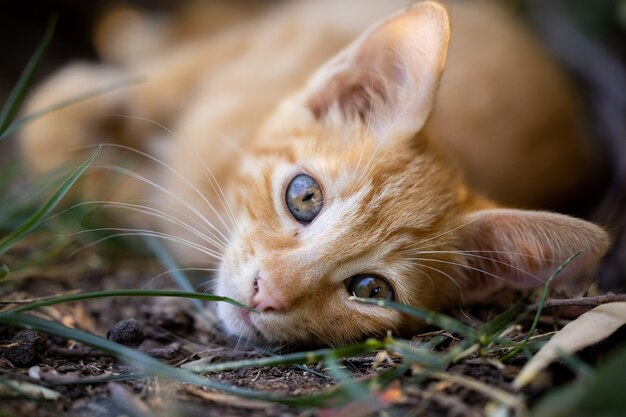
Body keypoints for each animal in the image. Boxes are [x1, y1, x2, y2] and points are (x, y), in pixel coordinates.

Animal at [22, 0, 608, 344]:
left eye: (371, 290)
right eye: (304, 197)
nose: (267, 294)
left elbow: (108, 186)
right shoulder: (281, 39)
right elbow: (155, 84)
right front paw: (72, 102)